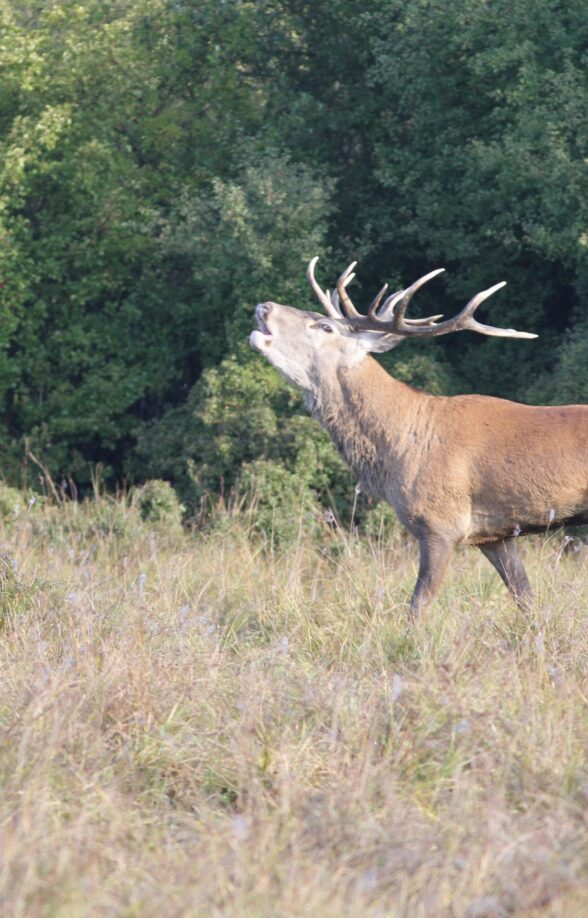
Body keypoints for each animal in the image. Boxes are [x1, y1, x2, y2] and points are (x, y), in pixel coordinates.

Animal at [250, 258, 588, 614]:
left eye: (325, 326)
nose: (264, 307)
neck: (400, 446)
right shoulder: (495, 535)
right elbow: (526, 600)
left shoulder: (440, 523)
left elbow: (417, 607)